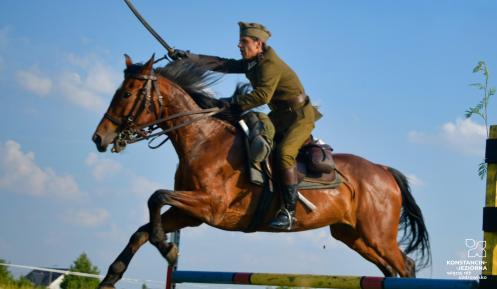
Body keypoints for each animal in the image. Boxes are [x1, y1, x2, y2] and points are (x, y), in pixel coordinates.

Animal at [92, 54, 426, 288]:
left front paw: (168, 249)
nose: (99, 138)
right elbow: (143, 229)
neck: (203, 139)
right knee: (391, 269)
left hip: (377, 235)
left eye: (126, 94)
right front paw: (112, 277)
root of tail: (383, 171)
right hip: (354, 235)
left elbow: (156, 197)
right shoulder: (191, 212)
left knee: (406, 266)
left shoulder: (210, 206)